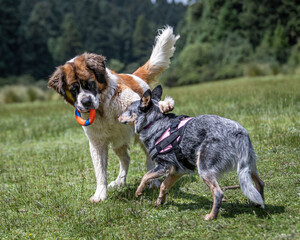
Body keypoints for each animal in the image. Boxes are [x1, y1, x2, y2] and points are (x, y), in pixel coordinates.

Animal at [47, 26, 178, 202]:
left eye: (90, 83)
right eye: (74, 89)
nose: (86, 101)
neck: (102, 109)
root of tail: (135, 76)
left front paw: (164, 104)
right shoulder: (97, 143)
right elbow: (100, 170)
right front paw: (100, 194)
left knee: (149, 160)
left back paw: (154, 182)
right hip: (118, 141)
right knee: (125, 159)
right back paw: (119, 182)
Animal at [118, 85, 264, 220]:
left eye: (128, 110)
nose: (118, 116)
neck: (154, 122)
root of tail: (239, 132)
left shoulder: (164, 166)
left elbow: (146, 176)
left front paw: (139, 192)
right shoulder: (177, 170)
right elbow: (164, 186)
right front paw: (159, 201)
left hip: (204, 169)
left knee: (218, 193)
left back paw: (211, 216)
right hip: (248, 166)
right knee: (260, 183)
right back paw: (259, 204)